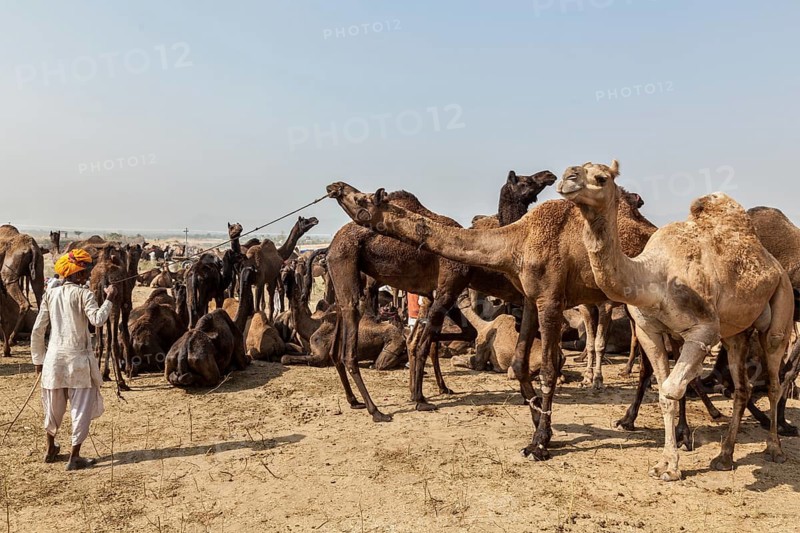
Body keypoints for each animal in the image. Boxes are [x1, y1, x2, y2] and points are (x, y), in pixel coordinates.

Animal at [325, 170, 556, 421]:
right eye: (526, 181)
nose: (548, 175)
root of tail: (331, 246)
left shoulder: (440, 291)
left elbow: (435, 337)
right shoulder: (450, 285)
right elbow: (423, 343)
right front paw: (419, 399)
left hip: (344, 278)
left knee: (337, 343)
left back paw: (354, 400)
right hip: (347, 263)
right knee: (350, 341)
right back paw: (375, 410)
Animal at [557, 160, 792, 479]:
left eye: (601, 177)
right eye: (575, 169)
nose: (566, 178)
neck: (654, 276)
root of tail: (774, 264)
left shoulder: (703, 331)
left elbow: (671, 389)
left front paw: (673, 465)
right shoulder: (649, 331)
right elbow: (663, 393)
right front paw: (665, 464)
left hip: (781, 304)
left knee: (774, 379)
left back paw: (775, 449)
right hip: (736, 333)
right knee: (742, 387)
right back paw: (724, 456)